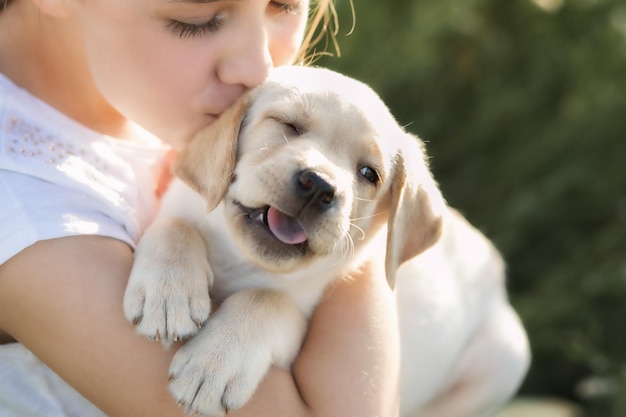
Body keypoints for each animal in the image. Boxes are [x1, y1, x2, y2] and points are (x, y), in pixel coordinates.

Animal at [124, 65, 528, 416]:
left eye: (369, 173)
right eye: (288, 125)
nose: (319, 185)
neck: (239, 259)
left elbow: (267, 300)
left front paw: (215, 363)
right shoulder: (177, 208)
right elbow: (176, 226)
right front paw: (167, 291)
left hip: (507, 357)